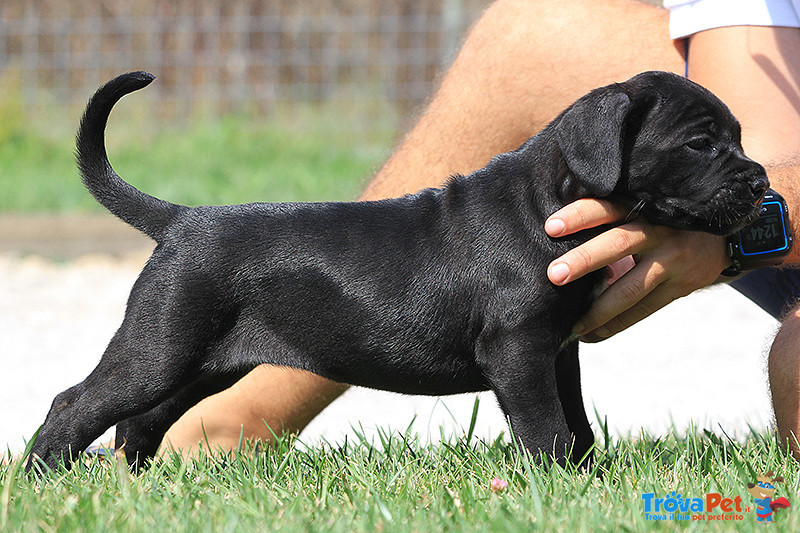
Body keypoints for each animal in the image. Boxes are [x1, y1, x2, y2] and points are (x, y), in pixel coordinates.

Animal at [26, 69, 768, 470]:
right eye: (701, 143)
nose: (762, 181)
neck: (548, 202)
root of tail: (181, 220)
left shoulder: (558, 351)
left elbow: (577, 423)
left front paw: (587, 479)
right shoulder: (520, 351)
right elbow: (546, 428)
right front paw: (561, 485)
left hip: (200, 362)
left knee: (141, 421)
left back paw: (137, 485)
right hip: (160, 344)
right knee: (76, 403)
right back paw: (44, 479)